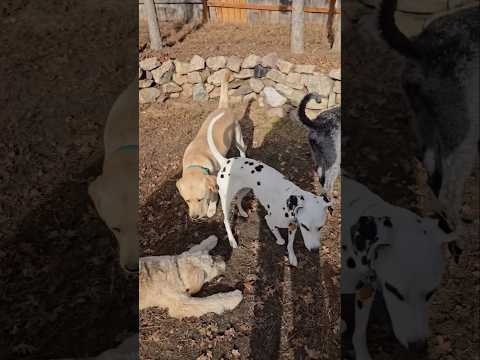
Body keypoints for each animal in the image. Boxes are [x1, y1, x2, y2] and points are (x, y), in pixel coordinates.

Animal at [175, 72, 248, 219]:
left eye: (200, 199)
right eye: (187, 201)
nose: (194, 217)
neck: (196, 160)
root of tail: (223, 107)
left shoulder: (214, 182)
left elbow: (214, 196)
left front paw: (211, 209)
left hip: (238, 138)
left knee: (242, 149)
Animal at [206, 111, 334, 266]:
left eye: (320, 227)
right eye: (306, 227)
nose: (315, 250)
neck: (288, 203)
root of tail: (226, 161)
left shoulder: (292, 227)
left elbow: (290, 244)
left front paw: (292, 257)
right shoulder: (270, 219)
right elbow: (277, 233)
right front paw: (279, 240)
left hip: (245, 189)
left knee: (238, 200)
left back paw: (242, 212)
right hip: (226, 199)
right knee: (225, 219)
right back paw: (232, 241)